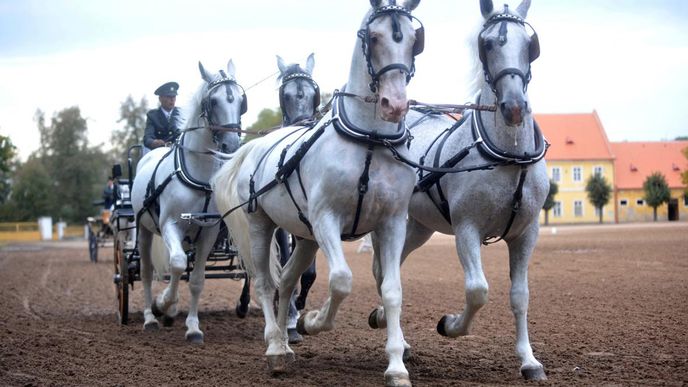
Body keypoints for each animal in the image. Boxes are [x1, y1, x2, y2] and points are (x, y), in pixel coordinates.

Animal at [130, 59, 246, 344]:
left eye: (241, 101)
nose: (231, 144)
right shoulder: (170, 225)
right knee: (147, 272)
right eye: (212, 101)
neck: (198, 174)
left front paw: (193, 327)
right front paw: (163, 304)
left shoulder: (208, 232)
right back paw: (150, 317)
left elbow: (196, 279)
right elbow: (177, 264)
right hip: (144, 230)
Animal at [212, 2, 422, 384]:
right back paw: (275, 346)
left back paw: (285, 342)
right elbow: (341, 280)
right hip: (261, 225)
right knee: (265, 283)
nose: (395, 104)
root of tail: (253, 147)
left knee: (286, 282)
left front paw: (397, 365)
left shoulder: (392, 223)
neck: (370, 142)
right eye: (373, 36)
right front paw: (314, 321)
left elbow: (392, 290)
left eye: (415, 40)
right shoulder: (327, 219)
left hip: (306, 236)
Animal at [368, 0, 552, 382]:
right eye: (487, 44)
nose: (514, 107)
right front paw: (450, 324)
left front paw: (529, 361)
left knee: (393, 268)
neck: (509, 156)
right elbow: (478, 290)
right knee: (383, 271)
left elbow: (520, 296)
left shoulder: (527, 233)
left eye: (530, 45)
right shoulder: (467, 228)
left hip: (419, 227)